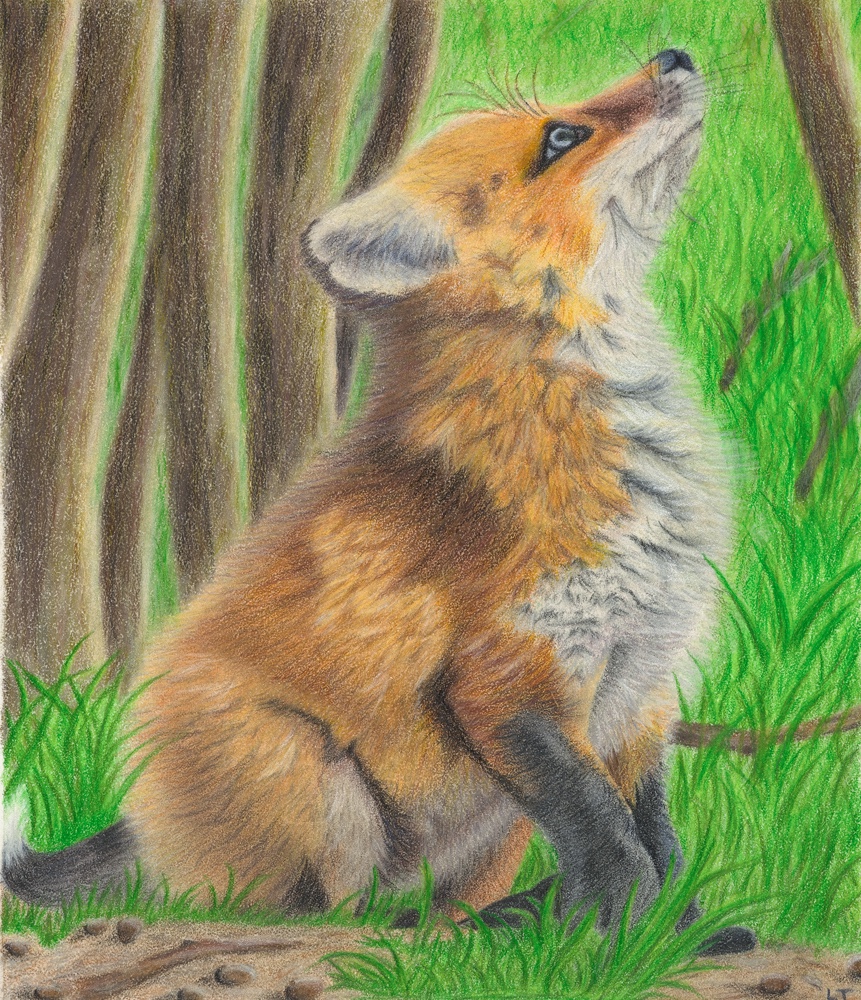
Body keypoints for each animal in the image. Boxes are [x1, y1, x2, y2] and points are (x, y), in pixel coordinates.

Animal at [4, 49, 755, 954]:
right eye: (561, 137)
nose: (674, 55)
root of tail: (143, 825)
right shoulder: (504, 680)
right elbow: (607, 834)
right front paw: (615, 946)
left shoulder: (636, 693)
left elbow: (654, 837)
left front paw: (668, 939)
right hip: (321, 784)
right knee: (320, 916)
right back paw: (478, 933)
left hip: (493, 825)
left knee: (436, 903)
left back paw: (507, 921)